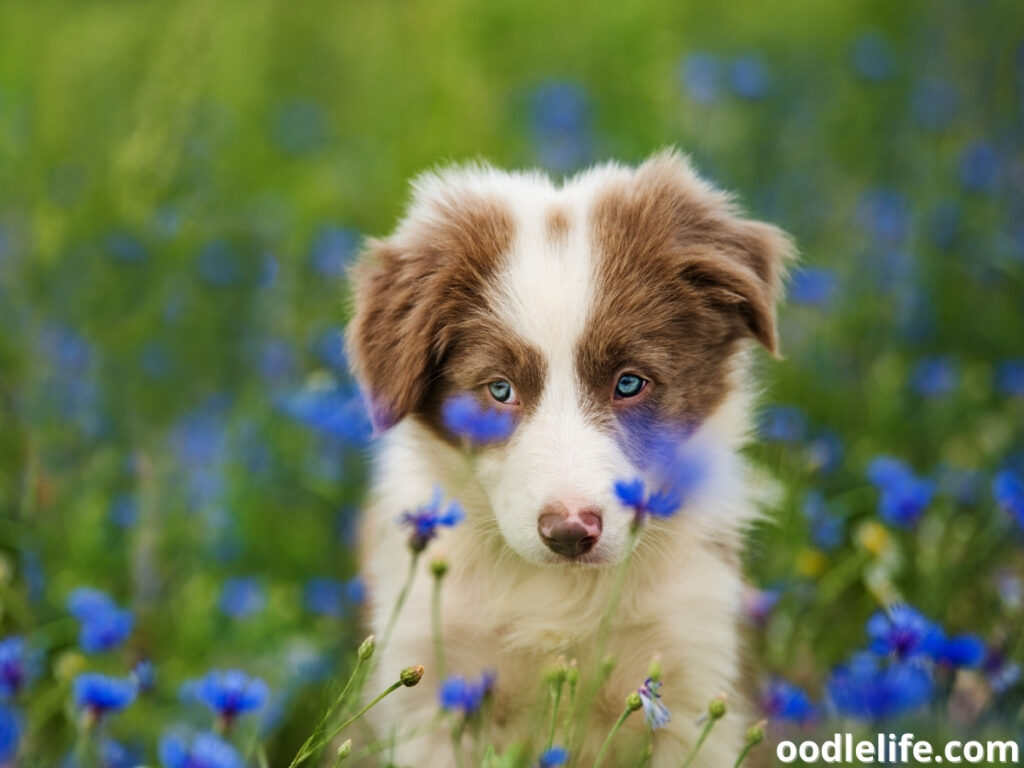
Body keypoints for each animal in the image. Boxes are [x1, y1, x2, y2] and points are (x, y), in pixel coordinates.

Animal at [344, 150, 790, 768]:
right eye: (499, 389)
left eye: (629, 382)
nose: (570, 533)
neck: (559, 590)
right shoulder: (431, 691)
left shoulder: (694, 675)